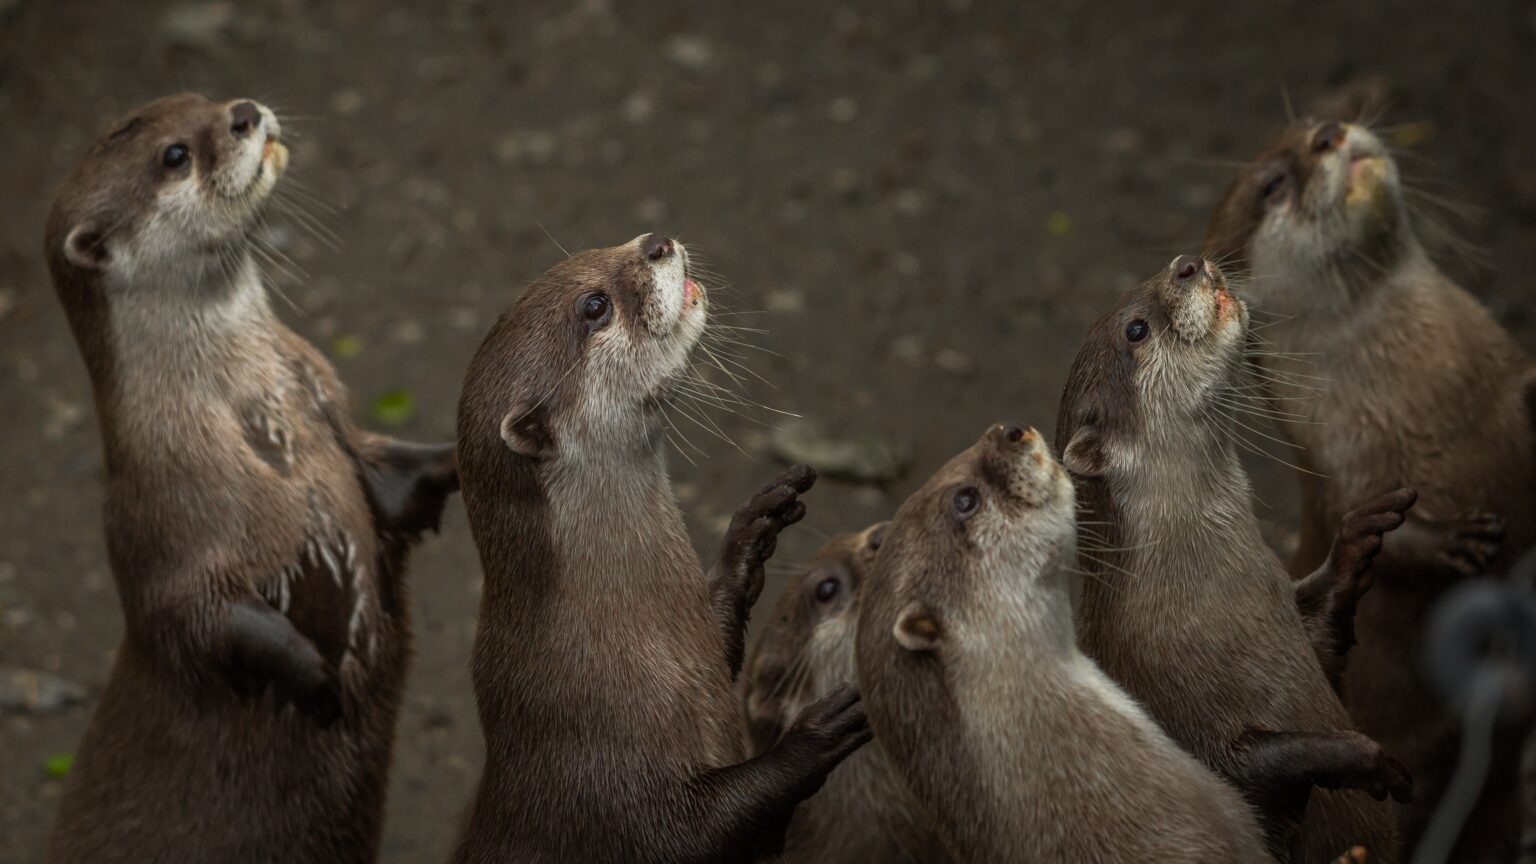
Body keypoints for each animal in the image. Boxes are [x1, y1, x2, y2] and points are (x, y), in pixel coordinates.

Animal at [41, 94, 458, 864]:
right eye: (174, 155)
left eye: (203, 98)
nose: (243, 112)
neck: (254, 420)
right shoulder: (158, 520)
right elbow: (194, 616)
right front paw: (319, 683)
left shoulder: (337, 422)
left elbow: (396, 482)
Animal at [452, 234, 871, 863]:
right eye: (594, 306)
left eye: (595, 250)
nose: (655, 242)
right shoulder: (600, 769)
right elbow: (689, 832)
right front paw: (815, 735)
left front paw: (751, 534)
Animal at [1056, 256, 1412, 863]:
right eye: (1135, 330)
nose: (1187, 264)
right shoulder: (1172, 701)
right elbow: (1240, 774)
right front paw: (1360, 757)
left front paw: (1356, 543)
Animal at [1205, 116, 1534, 861]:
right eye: (1274, 183)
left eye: (1310, 127)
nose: (1329, 132)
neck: (1443, 401)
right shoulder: (1338, 463)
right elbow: (1365, 528)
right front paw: (1455, 539)